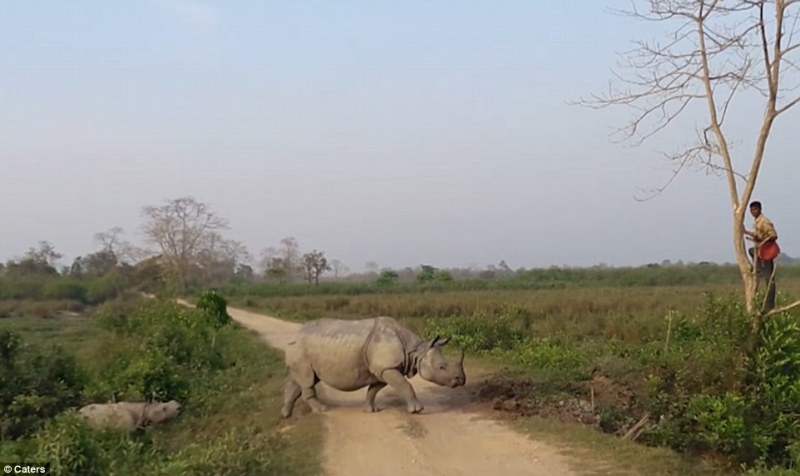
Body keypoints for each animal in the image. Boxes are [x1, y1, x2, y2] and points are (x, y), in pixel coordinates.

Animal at [282, 316, 466, 416]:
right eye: (441, 367)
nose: (461, 380)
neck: (416, 352)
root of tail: (295, 334)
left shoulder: (383, 369)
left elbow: (373, 390)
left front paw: (372, 409)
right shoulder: (387, 367)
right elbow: (405, 385)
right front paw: (417, 410)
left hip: (303, 349)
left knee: (303, 379)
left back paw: (286, 414)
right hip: (301, 348)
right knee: (307, 379)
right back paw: (322, 410)